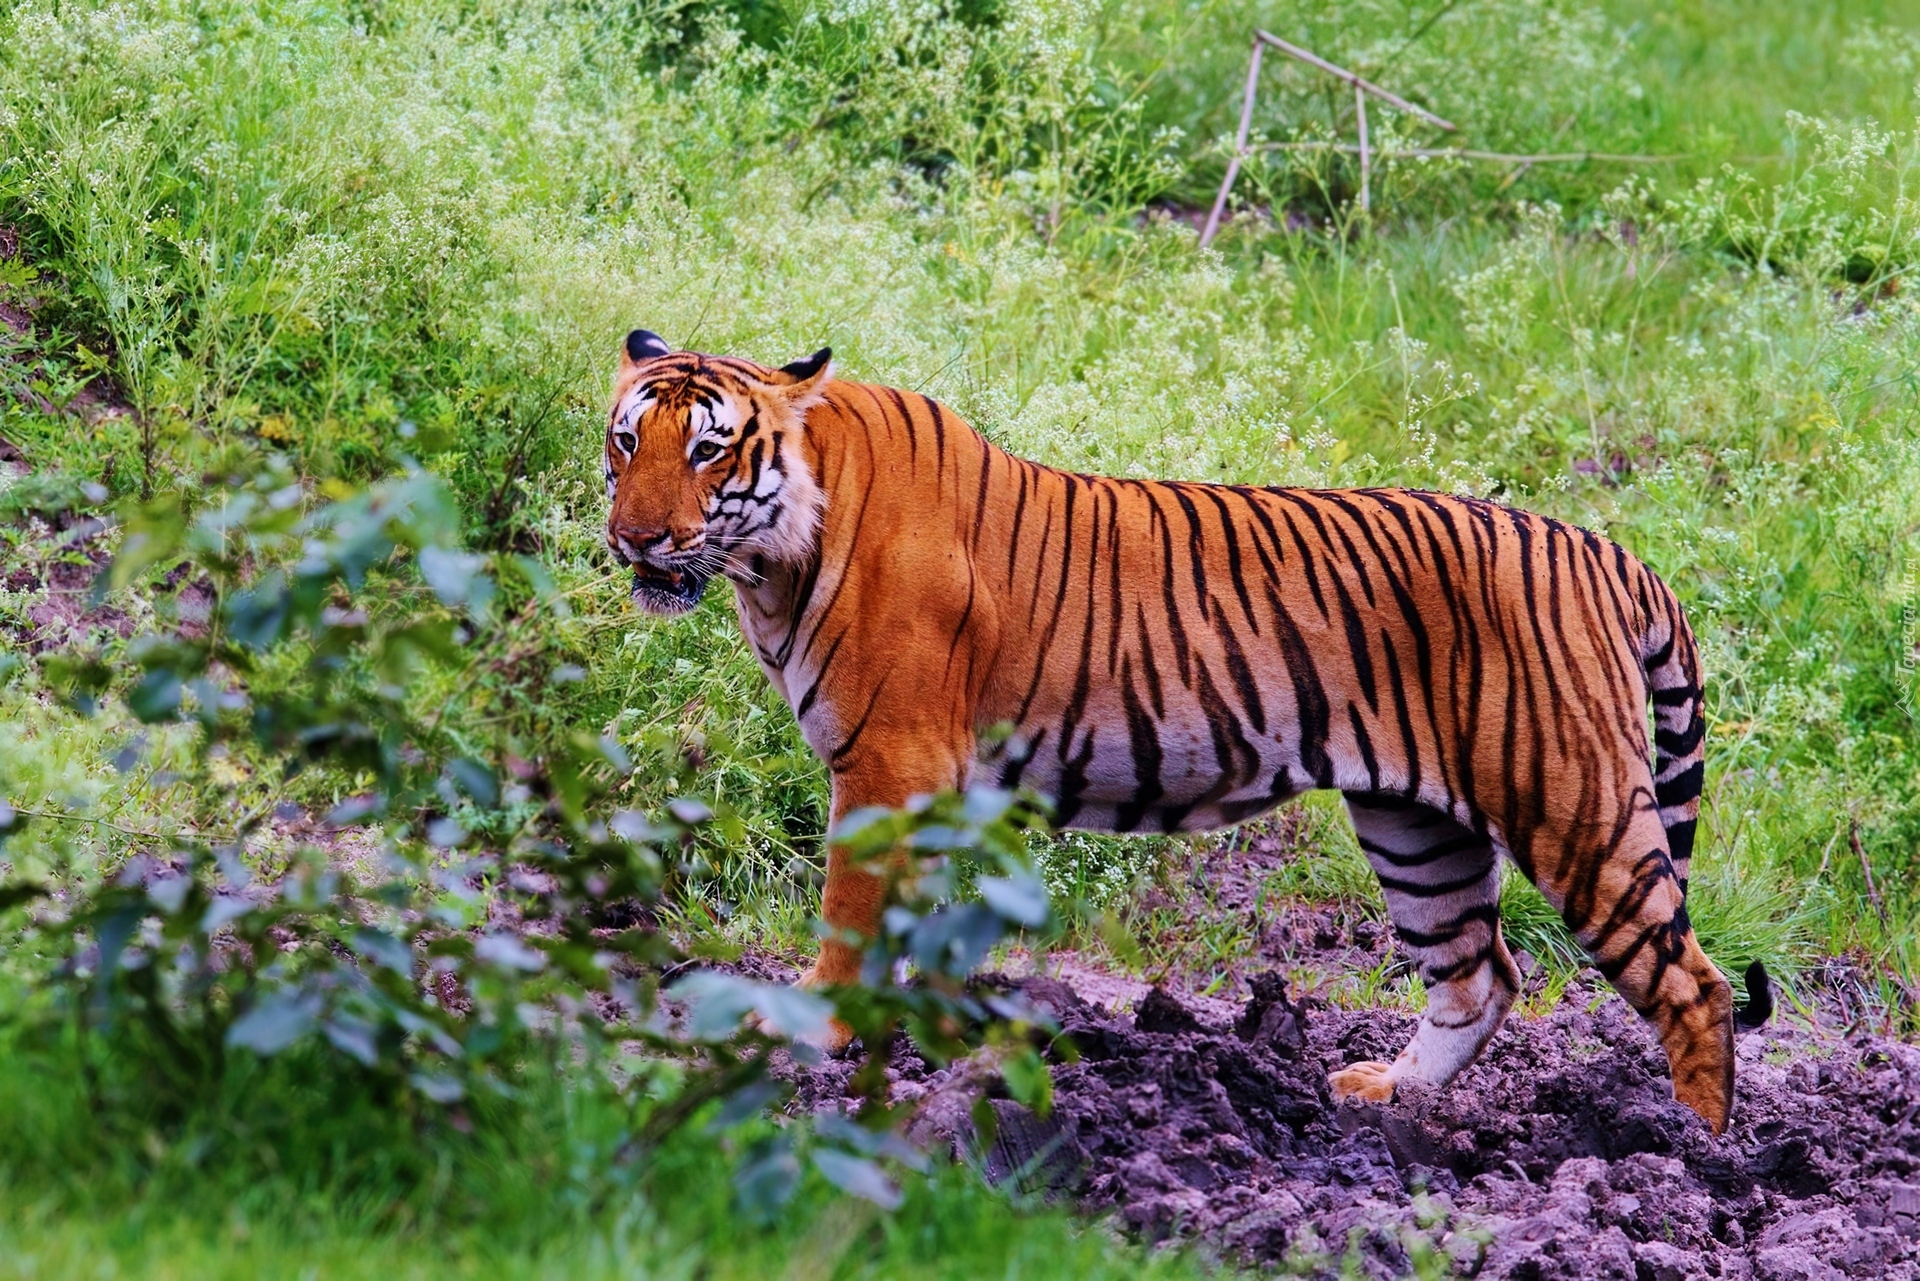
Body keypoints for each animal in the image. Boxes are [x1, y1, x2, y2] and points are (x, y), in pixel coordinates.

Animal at [602, 328, 1766, 1129]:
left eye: (709, 453)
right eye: (627, 441)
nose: (634, 538)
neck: (773, 562)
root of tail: (1609, 551)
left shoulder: (890, 762)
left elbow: (850, 913)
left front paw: (812, 1028)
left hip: (1573, 805)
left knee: (1692, 984)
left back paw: (1691, 1153)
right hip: (1415, 827)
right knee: (1480, 974)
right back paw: (1382, 1094)